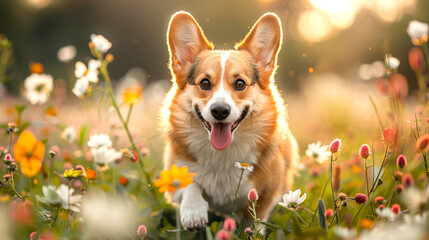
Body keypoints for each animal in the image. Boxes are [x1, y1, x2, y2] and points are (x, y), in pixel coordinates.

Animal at [160, 10, 298, 231]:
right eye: (205, 83)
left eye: (240, 83)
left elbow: (255, 217)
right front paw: (193, 212)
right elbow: (189, 184)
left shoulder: (267, 194)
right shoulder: (173, 175)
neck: (222, 154)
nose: (220, 111)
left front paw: (253, 231)